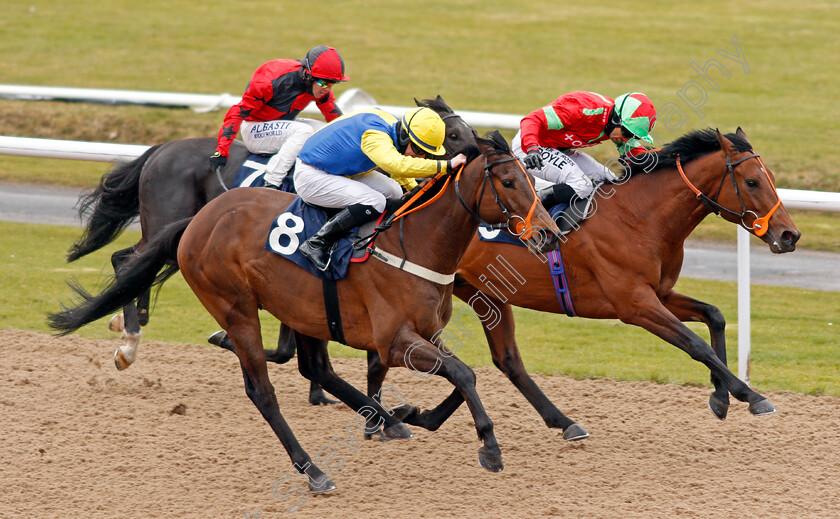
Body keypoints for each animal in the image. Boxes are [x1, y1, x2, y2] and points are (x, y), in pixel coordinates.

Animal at [49, 132, 564, 494]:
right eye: (509, 182)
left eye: (532, 181)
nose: (549, 233)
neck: (414, 243)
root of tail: (197, 221)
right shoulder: (394, 342)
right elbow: (462, 374)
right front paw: (490, 447)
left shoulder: (424, 334)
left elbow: (464, 376)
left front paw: (412, 413)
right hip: (236, 308)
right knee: (262, 391)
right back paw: (313, 469)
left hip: (303, 310)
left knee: (315, 367)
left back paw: (387, 421)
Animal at [360, 128, 800, 436]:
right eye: (753, 182)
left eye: (771, 176)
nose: (790, 235)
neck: (641, 216)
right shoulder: (635, 305)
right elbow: (695, 345)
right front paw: (751, 396)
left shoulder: (658, 293)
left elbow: (715, 316)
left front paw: (721, 396)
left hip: (485, 295)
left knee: (506, 361)